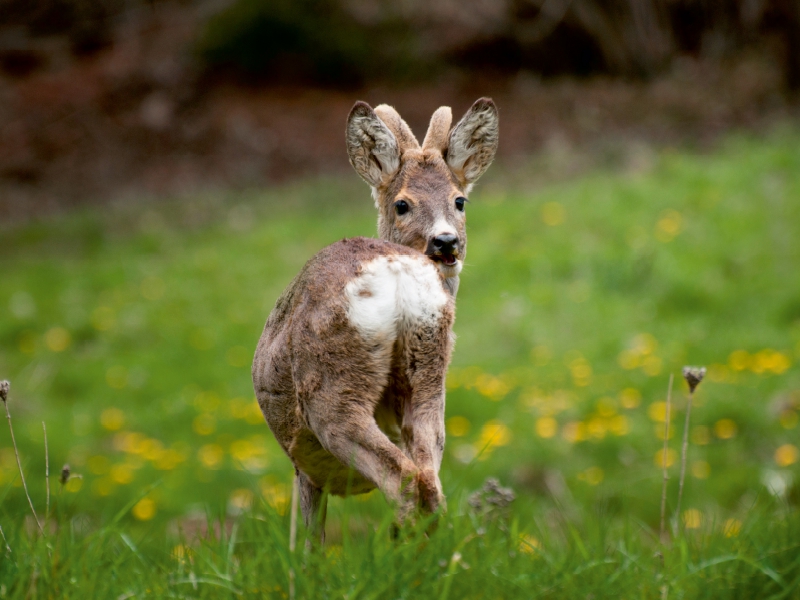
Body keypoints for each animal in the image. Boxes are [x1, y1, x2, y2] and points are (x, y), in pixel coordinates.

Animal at [252, 98, 500, 544]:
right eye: (402, 204)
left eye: (460, 201)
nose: (446, 242)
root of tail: (395, 272)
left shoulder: (304, 466)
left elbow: (308, 537)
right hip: (428, 371)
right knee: (429, 479)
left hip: (331, 390)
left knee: (402, 478)